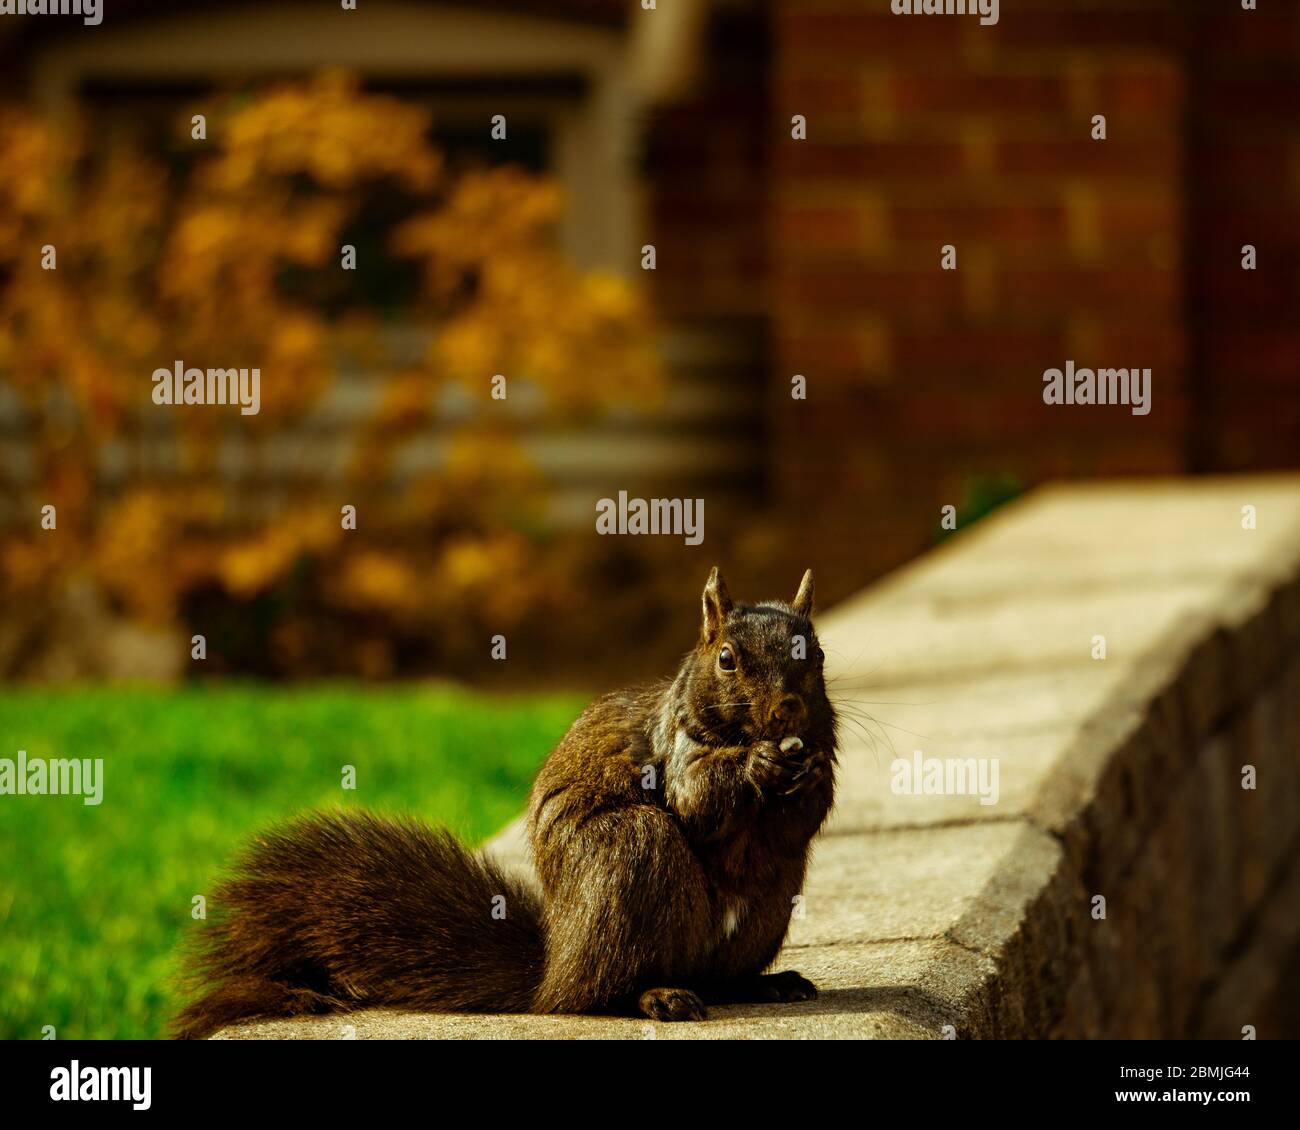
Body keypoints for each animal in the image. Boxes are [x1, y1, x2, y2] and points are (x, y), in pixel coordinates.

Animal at [172, 567, 837, 1037]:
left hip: (769, 900)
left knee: (721, 977)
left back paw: (767, 985)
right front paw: (757, 765)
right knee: (599, 995)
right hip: (630, 852)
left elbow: (801, 821)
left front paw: (807, 773)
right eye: (726, 659)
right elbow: (697, 800)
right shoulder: (674, 749)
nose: (787, 712)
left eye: (820, 654)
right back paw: (655, 995)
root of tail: (553, 973)